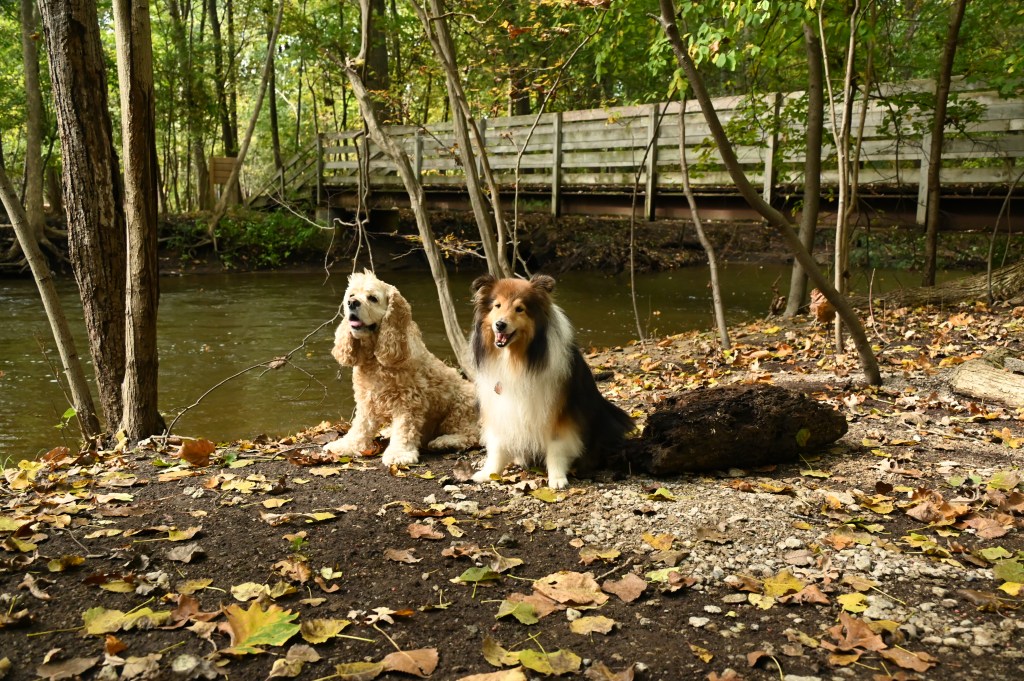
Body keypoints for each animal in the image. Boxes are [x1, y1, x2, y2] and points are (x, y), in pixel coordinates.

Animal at [324, 270, 478, 466]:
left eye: (372, 298)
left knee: (473, 435)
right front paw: (346, 446)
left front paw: (399, 454)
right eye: (351, 295)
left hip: (460, 406)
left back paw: (444, 441)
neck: (376, 360)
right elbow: (360, 427)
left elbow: (405, 429)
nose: (352, 303)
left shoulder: (408, 401)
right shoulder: (366, 400)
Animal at [470, 273, 634, 488]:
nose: (500, 324)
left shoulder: (557, 413)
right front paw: (488, 473)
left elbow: (556, 446)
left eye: (519, 308)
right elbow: (497, 446)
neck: (517, 360)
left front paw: (557, 478)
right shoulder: (500, 408)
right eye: (497, 305)